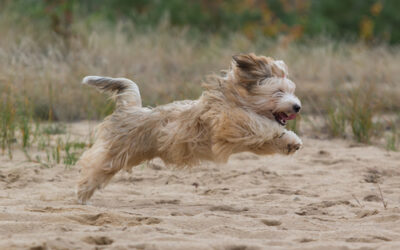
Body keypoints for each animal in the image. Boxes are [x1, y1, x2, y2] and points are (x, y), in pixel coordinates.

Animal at [77, 53, 304, 204]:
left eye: (292, 91)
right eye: (278, 92)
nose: (297, 106)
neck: (236, 100)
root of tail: (131, 110)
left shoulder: (245, 136)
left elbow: (268, 137)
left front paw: (291, 141)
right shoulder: (229, 122)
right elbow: (261, 125)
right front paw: (280, 133)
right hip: (116, 152)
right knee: (93, 163)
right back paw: (82, 193)